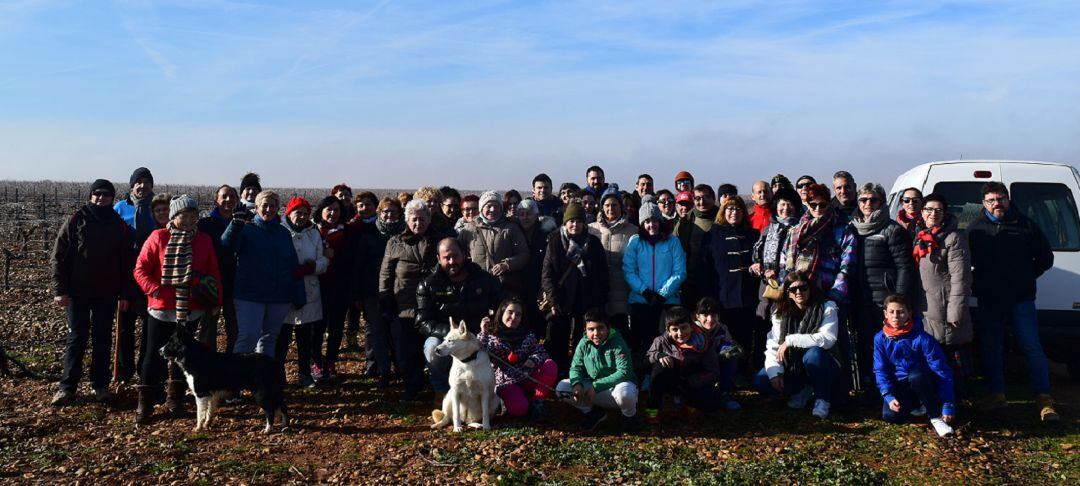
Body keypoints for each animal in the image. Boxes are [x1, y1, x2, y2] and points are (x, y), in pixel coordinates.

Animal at [158, 326, 287, 432]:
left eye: (171, 343)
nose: (159, 351)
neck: (193, 355)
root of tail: (275, 363)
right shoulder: (212, 394)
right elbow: (209, 411)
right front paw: (207, 424)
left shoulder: (201, 393)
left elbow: (200, 413)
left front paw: (198, 427)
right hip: (275, 392)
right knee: (283, 407)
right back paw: (284, 426)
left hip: (262, 393)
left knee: (270, 411)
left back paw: (268, 429)